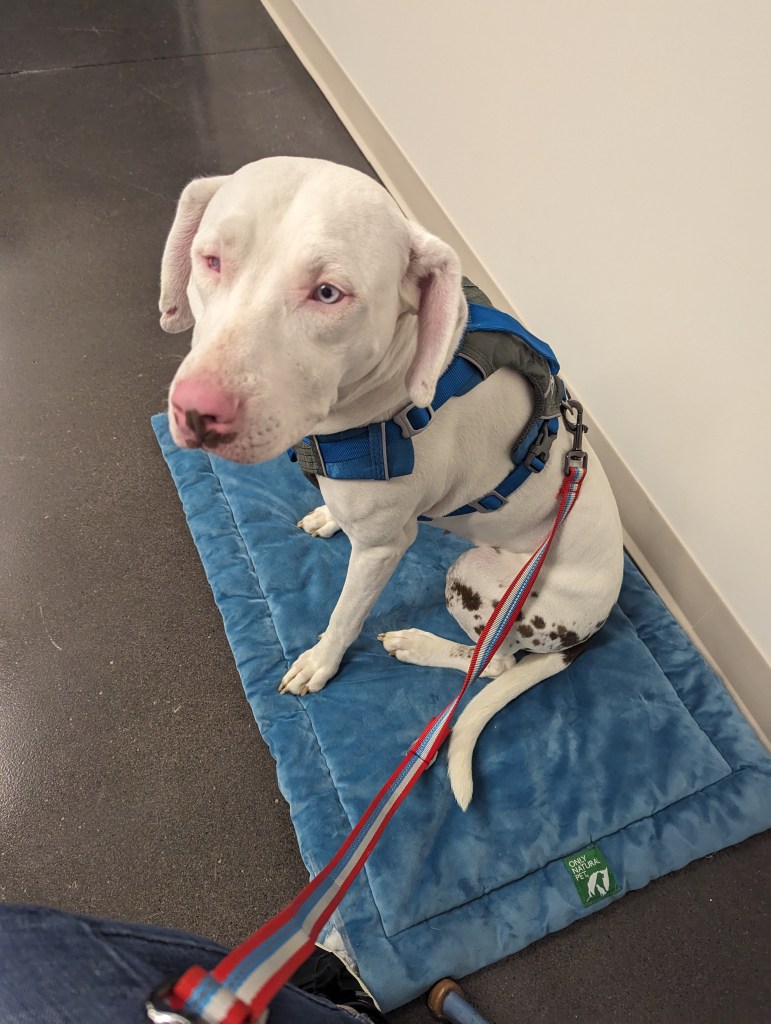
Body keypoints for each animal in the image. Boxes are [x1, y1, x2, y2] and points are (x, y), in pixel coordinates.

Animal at [159, 155, 622, 806]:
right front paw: (327, 515)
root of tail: (599, 620)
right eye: (211, 260)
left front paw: (320, 663)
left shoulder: (382, 551)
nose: (198, 410)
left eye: (329, 293)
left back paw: (418, 644)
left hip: (477, 580)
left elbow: (344, 616)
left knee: (493, 665)